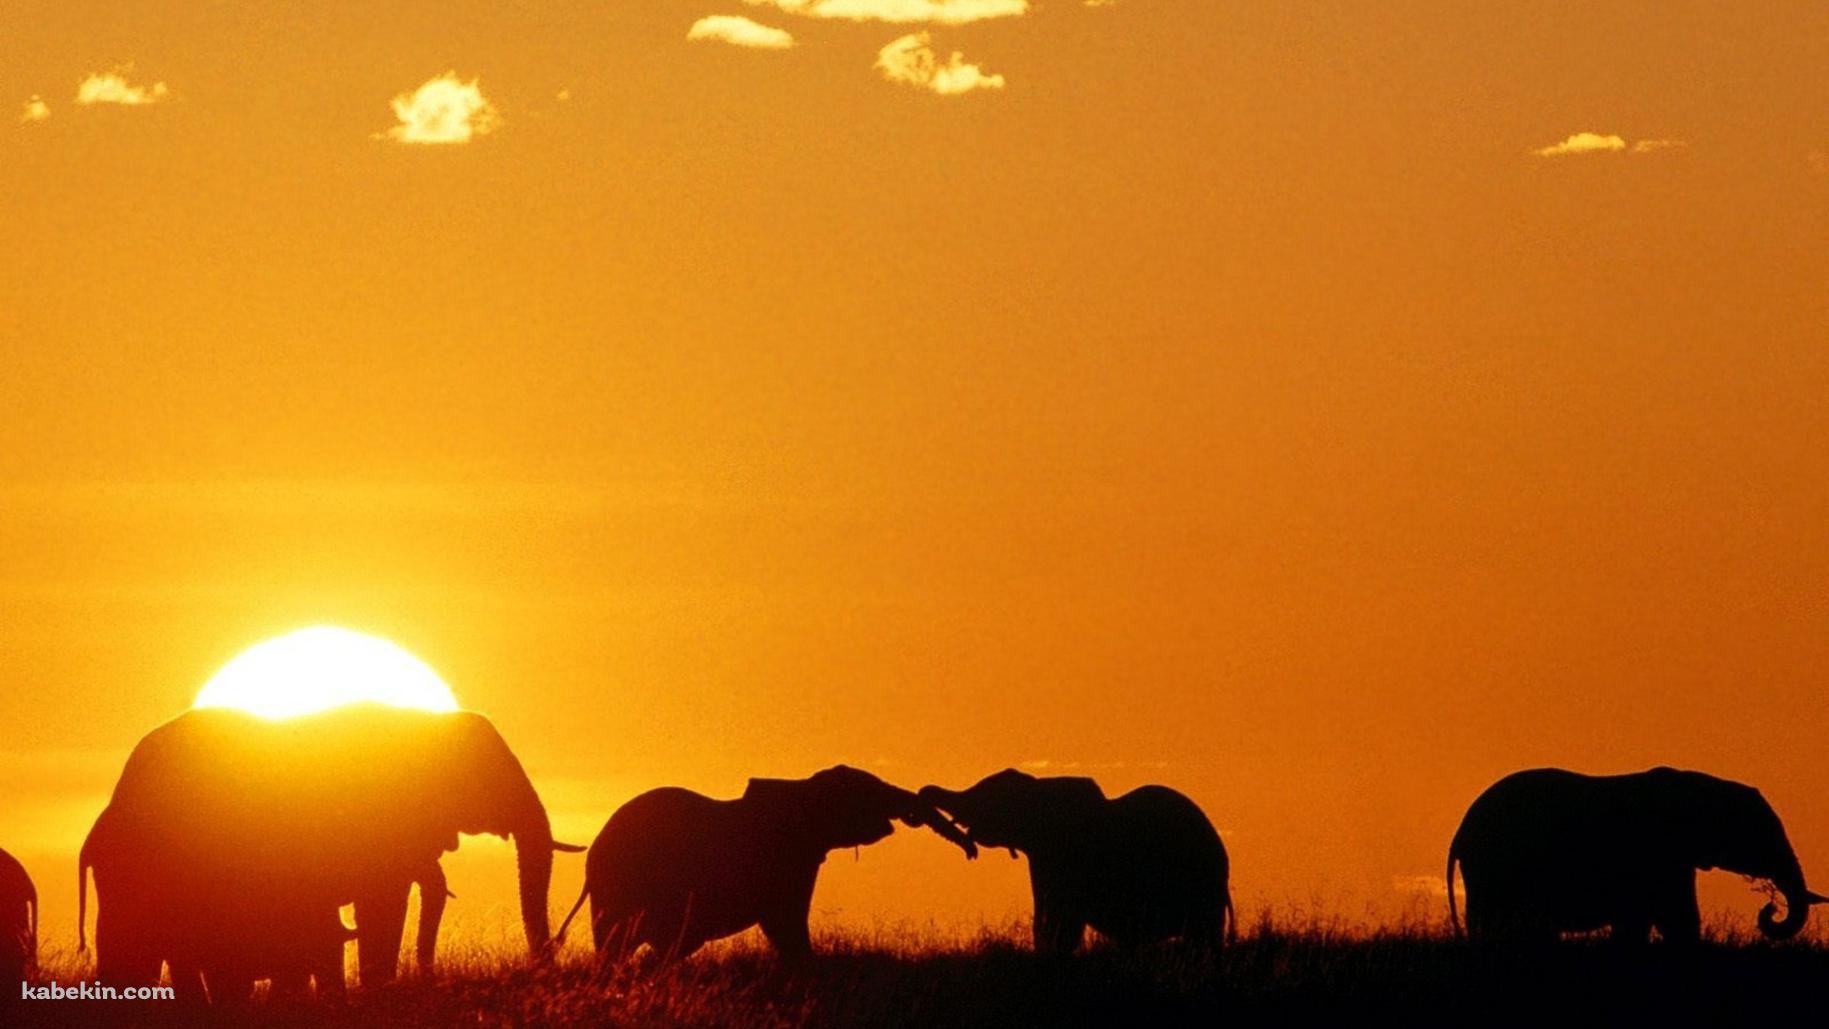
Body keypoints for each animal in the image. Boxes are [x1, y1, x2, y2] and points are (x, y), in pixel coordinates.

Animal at [919, 770, 1234, 954]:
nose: (922, 792)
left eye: (987, 797)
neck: (1041, 789)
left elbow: (1063, 927)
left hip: (1203, 889)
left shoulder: (1069, 858)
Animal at [1447, 766, 1827, 943]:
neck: (1703, 785)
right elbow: (1675, 917)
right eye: (1760, 833)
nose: (1770, 908)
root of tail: (1460, 834)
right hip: (1493, 867)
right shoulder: (1659, 852)